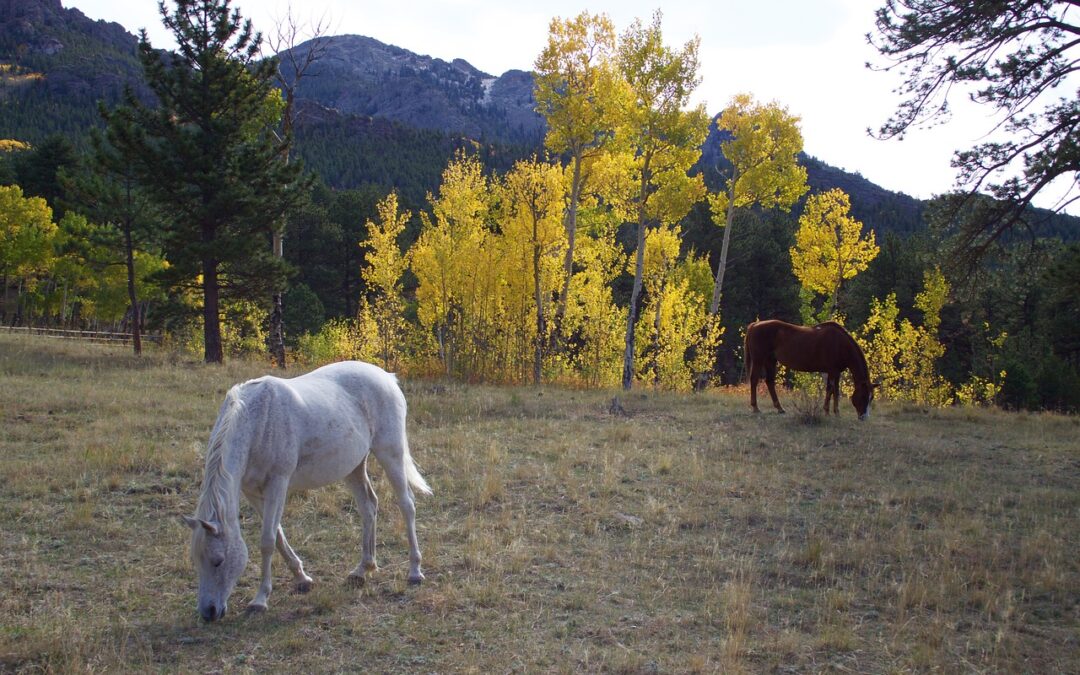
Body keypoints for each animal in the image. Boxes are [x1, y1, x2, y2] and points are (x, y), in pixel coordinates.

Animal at [181, 358, 429, 622]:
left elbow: (267, 540)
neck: (257, 420)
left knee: (407, 505)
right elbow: (278, 535)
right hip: (352, 466)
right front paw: (302, 579)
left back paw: (414, 571)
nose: (208, 612)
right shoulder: (253, 492)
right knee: (368, 506)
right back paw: (363, 569)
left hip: (390, 453)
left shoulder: (278, 483)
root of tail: (387, 377)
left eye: (218, 561)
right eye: (196, 560)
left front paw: (260, 600)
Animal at [743, 317, 876, 419]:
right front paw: (832, 412)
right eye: (863, 396)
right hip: (759, 360)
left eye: (871, 398)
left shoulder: (834, 372)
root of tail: (754, 325)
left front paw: (831, 412)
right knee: (754, 380)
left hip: (770, 361)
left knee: (769, 382)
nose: (864, 417)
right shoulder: (833, 371)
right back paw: (755, 408)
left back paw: (780, 408)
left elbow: (832, 390)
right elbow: (833, 390)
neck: (840, 343)